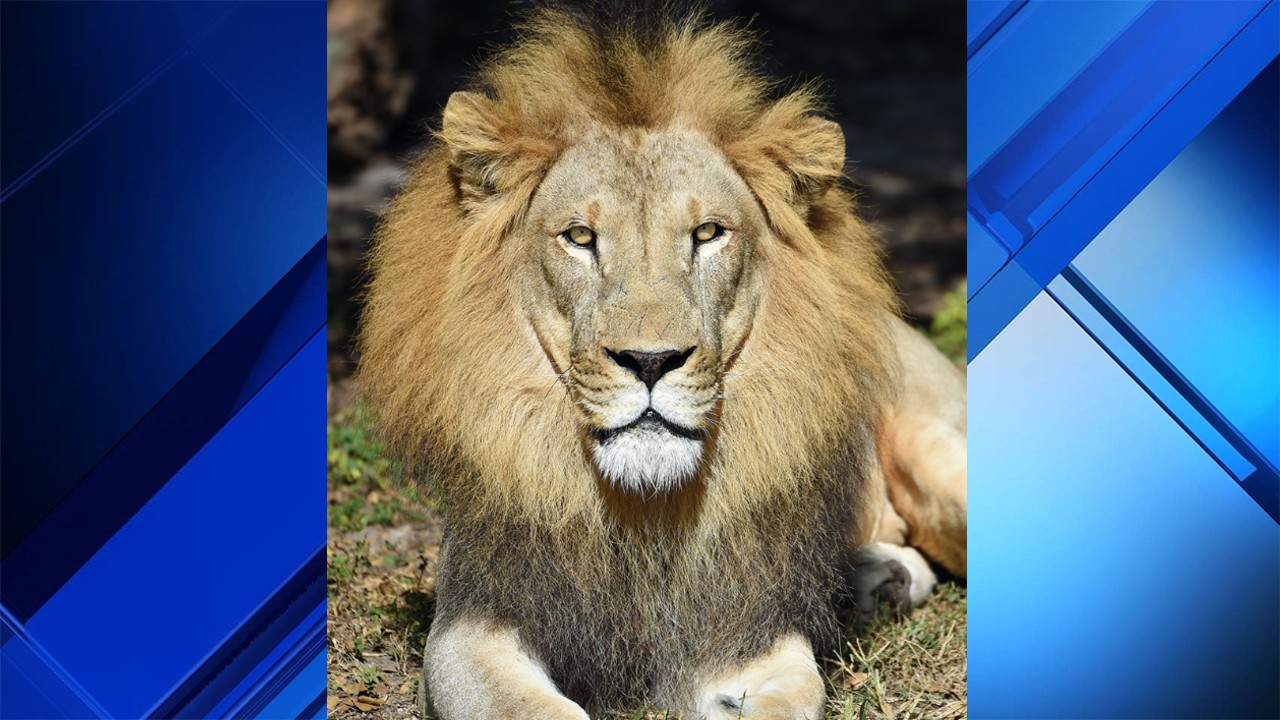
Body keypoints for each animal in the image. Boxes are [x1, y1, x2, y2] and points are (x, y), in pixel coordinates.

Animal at [358, 8, 966, 719]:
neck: (645, 511)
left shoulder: (750, 639)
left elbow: (792, 695)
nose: (651, 362)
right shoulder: (470, 626)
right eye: (579, 237)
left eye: (707, 234)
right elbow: (532, 707)